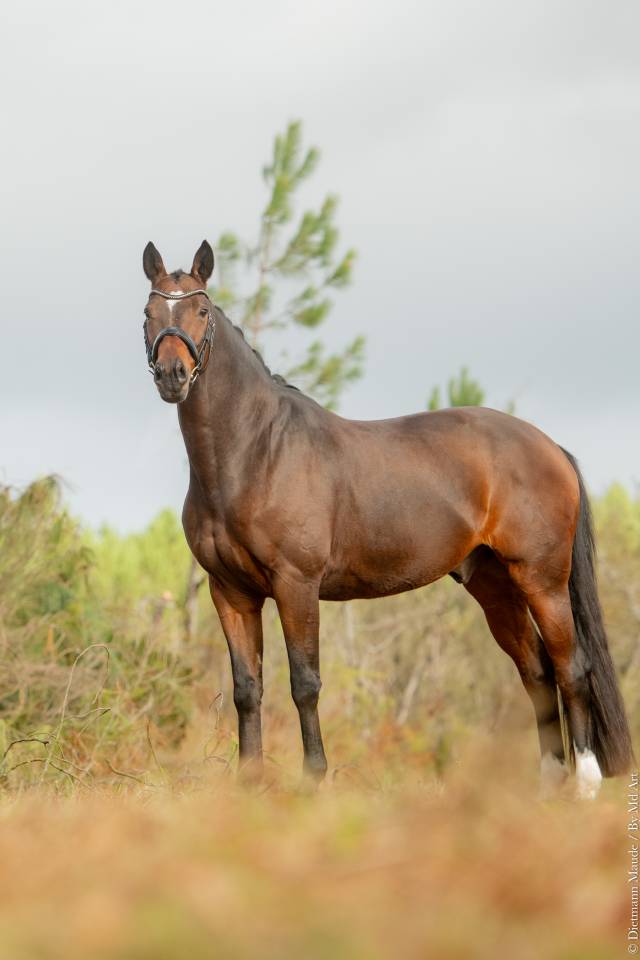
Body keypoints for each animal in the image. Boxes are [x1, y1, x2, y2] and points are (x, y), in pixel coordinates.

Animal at [141, 239, 633, 798]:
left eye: (201, 312)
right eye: (149, 312)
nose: (172, 376)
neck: (255, 451)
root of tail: (550, 447)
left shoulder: (296, 585)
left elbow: (304, 683)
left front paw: (314, 779)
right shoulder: (230, 591)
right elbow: (247, 687)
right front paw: (250, 784)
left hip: (543, 580)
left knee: (572, 669)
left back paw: (585, 785)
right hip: (494, 585)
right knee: (537, 674)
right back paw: (549, 785)